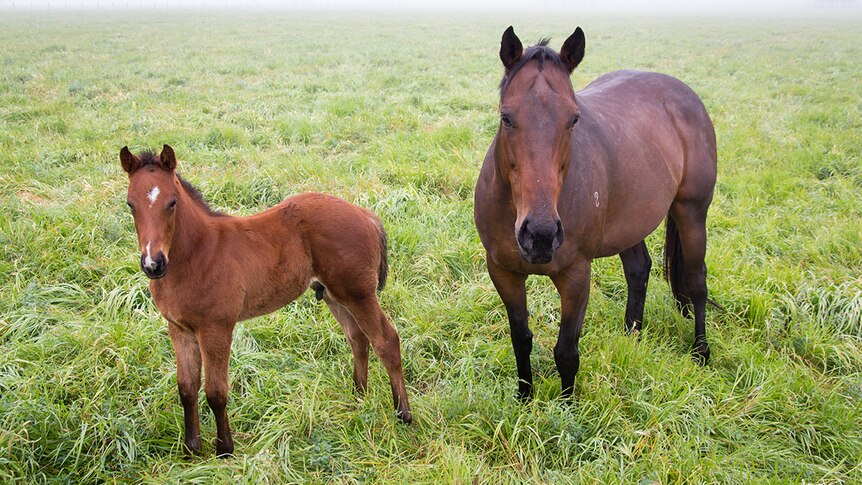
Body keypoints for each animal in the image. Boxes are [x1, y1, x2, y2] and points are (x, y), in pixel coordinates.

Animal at [120, 146, 414, 456]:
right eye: (130, 204)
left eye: (172, 202)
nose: (153, 264)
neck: (198, 254)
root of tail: (365, 214)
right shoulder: (178, 329)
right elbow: (186, 388)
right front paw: (191, 450)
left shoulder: (216, 328)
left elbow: (215, 391)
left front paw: (224, 450)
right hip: (335, 295)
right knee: (357, 338)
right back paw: (358, 396)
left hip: (359, 294)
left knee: (386, 341)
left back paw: (403, 413)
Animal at [476, 25, 720, 400]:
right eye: (506, 117)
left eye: (574, 119)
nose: (541, 235)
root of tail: (684, 93)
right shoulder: (503, 271)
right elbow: (521, 339)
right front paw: (525, 398)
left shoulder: (577, 275)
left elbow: (566, 351)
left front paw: (567, 408)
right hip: (631, 222)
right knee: (639, 269)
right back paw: (632, 336)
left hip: (691, 213)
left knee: (697, 281)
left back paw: (701, 351)